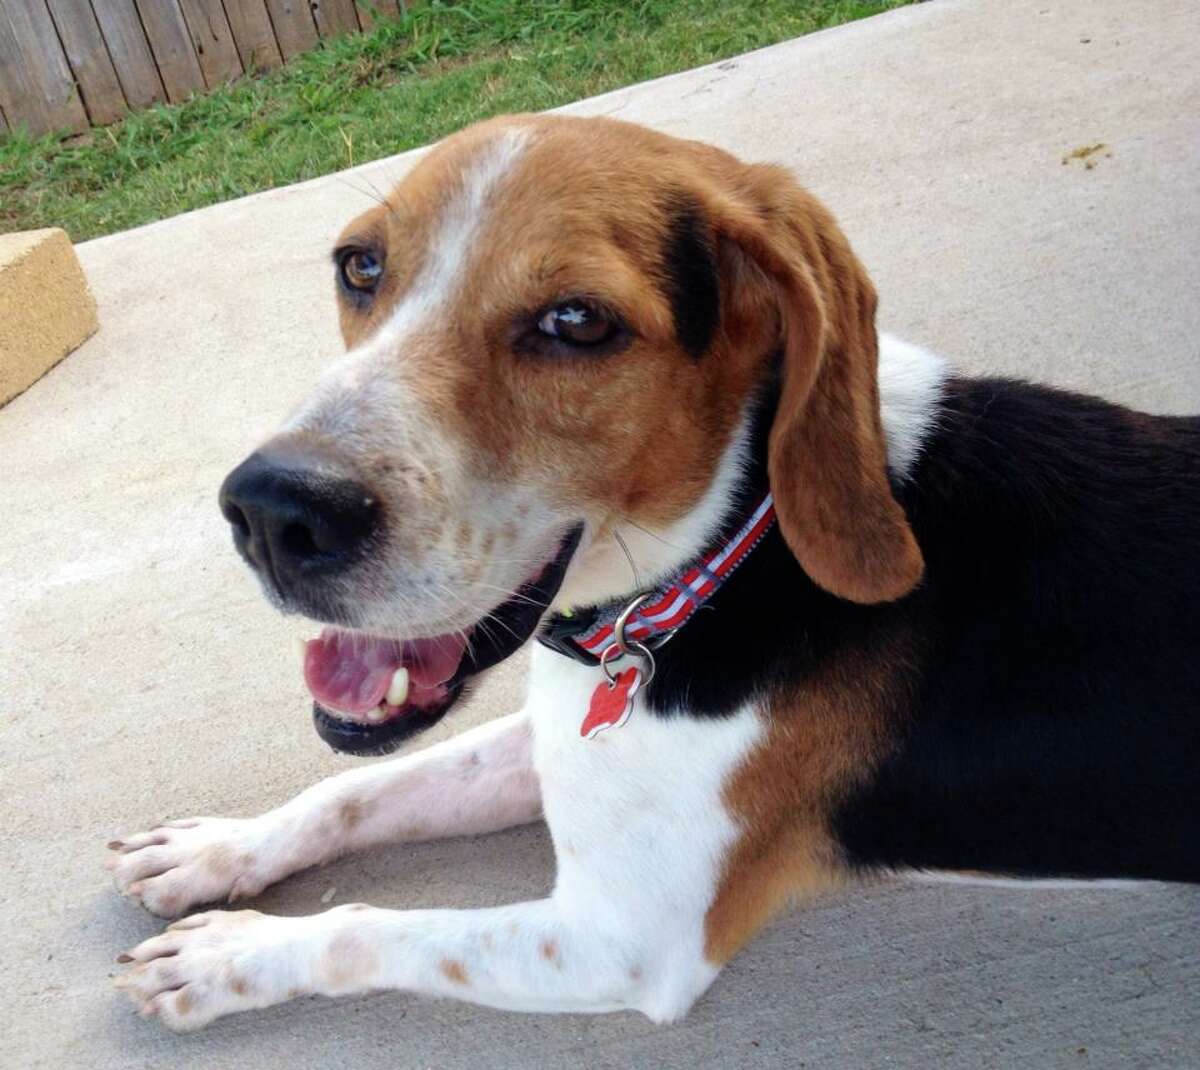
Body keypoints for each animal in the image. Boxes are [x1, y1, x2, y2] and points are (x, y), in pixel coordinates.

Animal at [105, 115, 1200, 1026]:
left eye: (577, 323)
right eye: (360, 265)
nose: (271, 510)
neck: (725, 557)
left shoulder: (620, 939)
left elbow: (366, 926)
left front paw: (227, 959)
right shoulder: (558, 743)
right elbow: (358, 790)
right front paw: (214, 850)